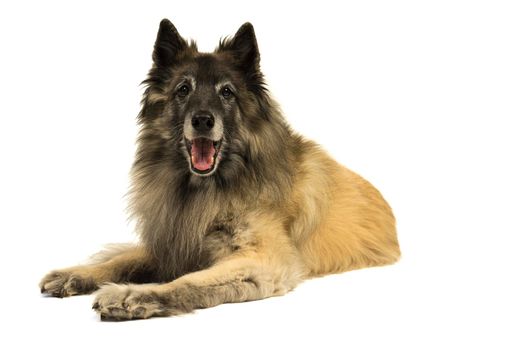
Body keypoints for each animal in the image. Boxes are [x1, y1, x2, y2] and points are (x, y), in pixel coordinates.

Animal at [40, 19, 402, 320]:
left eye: (226, 92)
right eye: (183, 90)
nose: (203, 120)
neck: (210, 187)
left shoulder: (261, 259)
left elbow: (189, 280)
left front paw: (134, 295)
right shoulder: (173, 241)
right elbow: (122, 260)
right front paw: (77, 274)